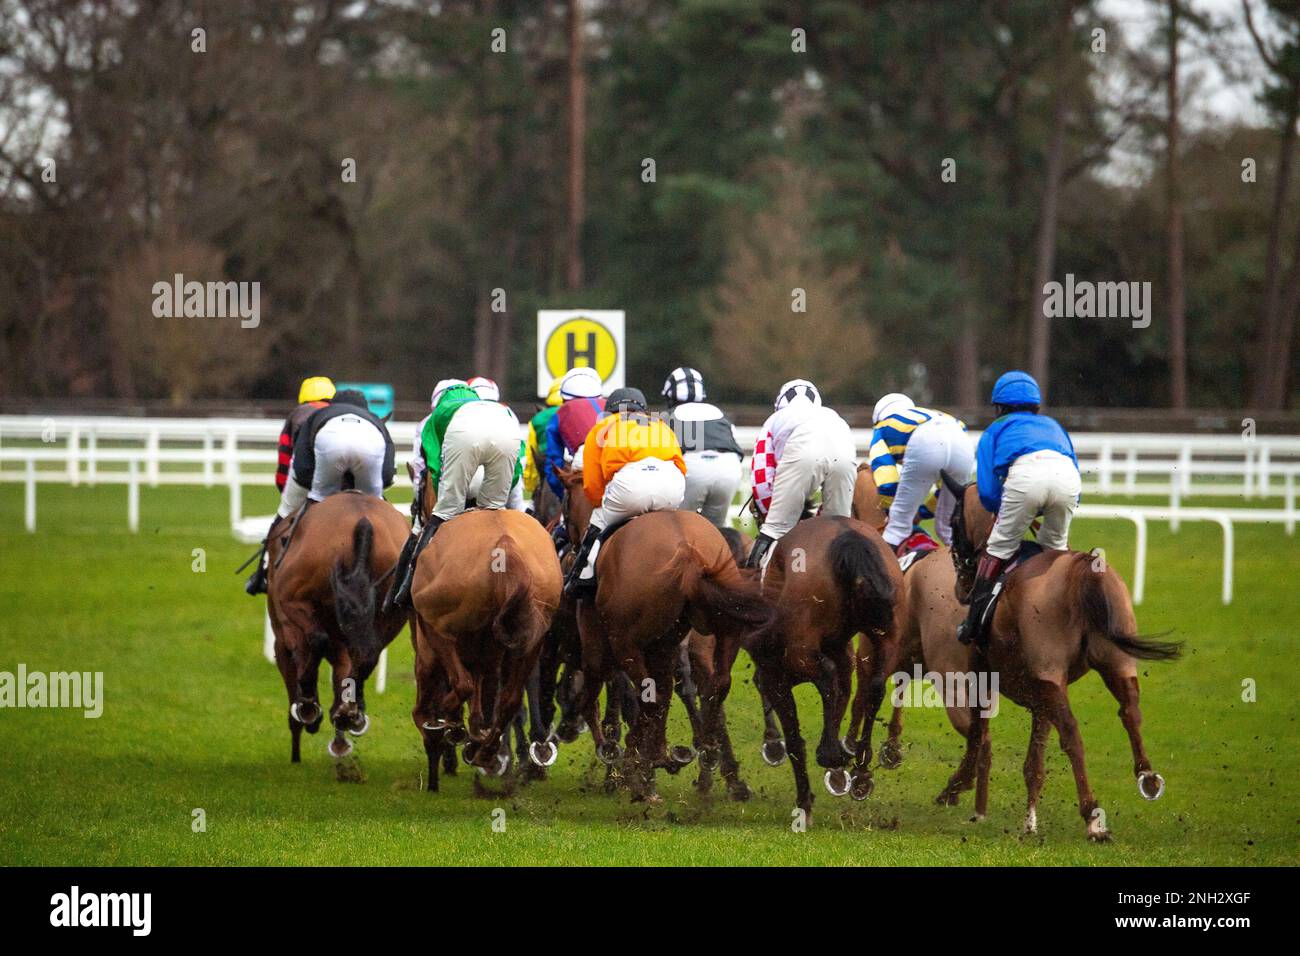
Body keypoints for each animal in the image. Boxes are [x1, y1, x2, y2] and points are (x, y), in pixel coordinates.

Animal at [263, 489, 405, 764]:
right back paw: (349, 713)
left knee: (317, 640)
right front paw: (341, 733)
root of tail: (362, 519)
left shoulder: (284, 639)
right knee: (368, 656)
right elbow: (344, 673)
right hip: (392, 610)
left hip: (295, 601)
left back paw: (311, 707)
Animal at [410, 504, 564, 790]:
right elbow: (484, 689)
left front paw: (448, 727)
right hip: (532, 639)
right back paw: (485, 750)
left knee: (460, 686)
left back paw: (451, 723)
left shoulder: (429, 642)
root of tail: (506, 546)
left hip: (438, 626)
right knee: (509, 698)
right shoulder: (487, 651)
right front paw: (474, 735)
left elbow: (448, 691)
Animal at [556, 468, 774, 806]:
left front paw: (619, 760)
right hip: (724, 627)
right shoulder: (666, 644)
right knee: (716, 685)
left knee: (650, 694)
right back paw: (704, 755)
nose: (564, 540)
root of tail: (688, 552)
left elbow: (598, 696)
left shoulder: (599, 646)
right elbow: (665, 692)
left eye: (566, 507)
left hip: (626, 642)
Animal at [743, 515, 904, 822]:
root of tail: (849, 536)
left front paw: (804, 801)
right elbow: (839, 704)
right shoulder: (845, 662)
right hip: (886, 636)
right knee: (876, 684)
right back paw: (861, 771)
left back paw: (830, 754)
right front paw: (840, 775)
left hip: (800, 651)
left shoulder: (774, 676)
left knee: (828, 676)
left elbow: (795, 740)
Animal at [941, 476, 1185, 842]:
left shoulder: (985, 674)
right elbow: (1034, 760)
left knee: (1072, 734)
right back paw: (1147, 776)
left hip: (1052, 673)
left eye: (954, 522)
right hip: (1115, 664)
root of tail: (1085, 569)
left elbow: (976, 735)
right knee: (1130, 711)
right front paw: (1029, 819)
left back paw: (1092, 816)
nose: (960, 587)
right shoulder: (1042, 691)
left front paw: (957, 788)